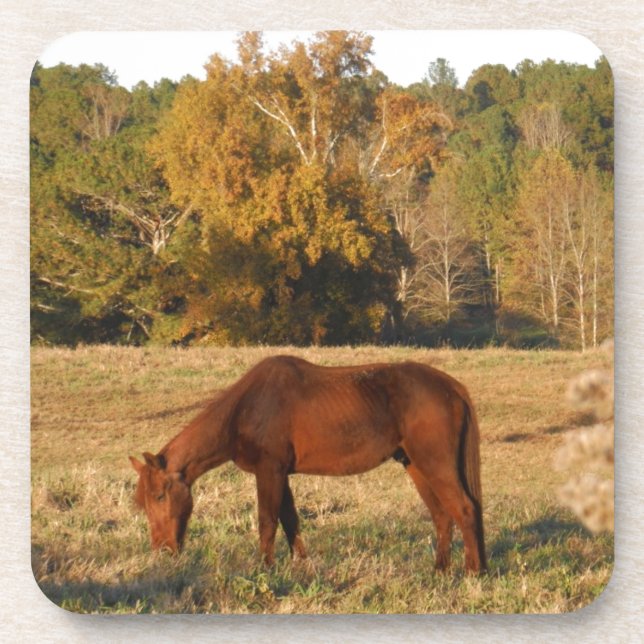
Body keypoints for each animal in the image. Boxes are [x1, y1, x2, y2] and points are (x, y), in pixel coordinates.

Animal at [130, 355, 487, 574]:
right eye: (144, 502)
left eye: (160, 496)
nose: (163, 551)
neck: (247, 408)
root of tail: (451, 387)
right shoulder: (281, 474)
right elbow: (290, 520)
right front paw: (300, 565)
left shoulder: (269, 471)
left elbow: (267, 520)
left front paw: (265, 568)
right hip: (415, 465)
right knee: (443, 515)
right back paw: (441, 570)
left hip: (435, 464)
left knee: (464, 509)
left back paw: (473, 572)